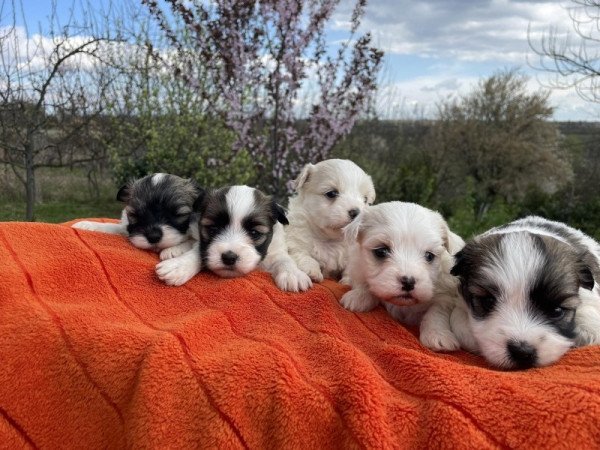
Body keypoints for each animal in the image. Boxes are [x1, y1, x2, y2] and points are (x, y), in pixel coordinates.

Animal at [71, 173, 203, 258]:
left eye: (178, 214)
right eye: (135, 215)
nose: (153, 236)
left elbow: (192, 241)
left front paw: (173, 250)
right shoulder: (125, 227)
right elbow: (111, 226)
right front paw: (87, 224)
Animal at [155, 184, 312, 292]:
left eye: (254, 233)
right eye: (213, 229)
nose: (229, 258)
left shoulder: (276, 249)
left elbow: (285, 259)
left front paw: (293, 274)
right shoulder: (204, 246)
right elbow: (198, 251)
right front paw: (179, 266)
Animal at [338, 201, 464, 352]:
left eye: (429, 256)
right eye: (381, 251)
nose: (408, 282)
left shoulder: (445, 295)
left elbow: (436, 312)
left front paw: (438, 335)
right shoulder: (358, 267)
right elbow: (364, 282)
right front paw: (358, 297)